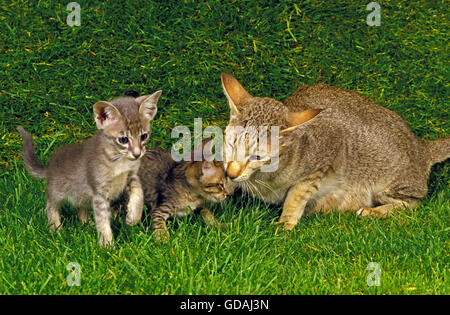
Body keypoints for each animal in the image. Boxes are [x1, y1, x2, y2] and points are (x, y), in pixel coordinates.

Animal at [18, 90, 162, 248]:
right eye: (123, 139)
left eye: (144, 136)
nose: (137, 154)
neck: (120, 161)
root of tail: (50, 166)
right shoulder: (99, 192)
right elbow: (103, 220)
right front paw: (107, 245)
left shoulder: (132, 176)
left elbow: (139, 192)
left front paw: (133, 216)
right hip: (57, 192)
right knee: (50, 206)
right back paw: (56, 229)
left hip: (81, 195)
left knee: (80, 207)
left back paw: (87, 224)